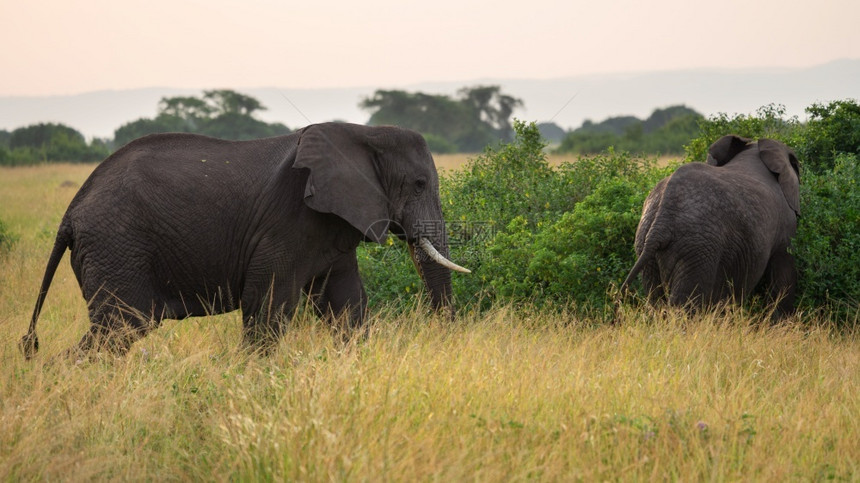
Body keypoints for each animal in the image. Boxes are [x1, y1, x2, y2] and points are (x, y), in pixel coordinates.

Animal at [20, 122, 466, 360]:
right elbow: (267, 305)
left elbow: (347, 305)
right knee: (120, 328)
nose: (444, 336)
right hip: (117, 247)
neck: (363, 134)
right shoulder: (288, 222)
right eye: (420, 183)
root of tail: (70, 213)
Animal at [624, 136, 800, 318]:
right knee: (685, 305)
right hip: (697, 248)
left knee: (655, 300)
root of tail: (661, 221)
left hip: (647, 241)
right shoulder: (786, 226)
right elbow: (784, 271)